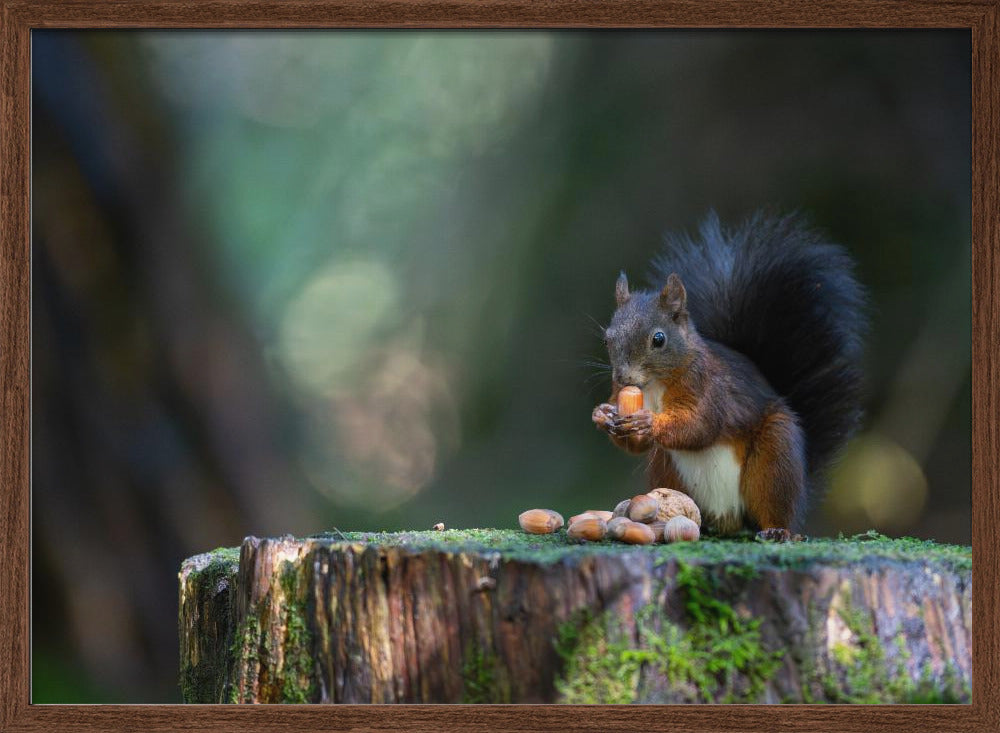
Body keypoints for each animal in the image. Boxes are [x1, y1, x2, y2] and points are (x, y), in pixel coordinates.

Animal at [592, 209, 868, 540]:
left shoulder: (707, 387)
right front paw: (602, 414)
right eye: (607, 339)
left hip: (774, 458)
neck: (655, 385)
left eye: (658, 339)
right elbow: (637, 445)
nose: (624, 378)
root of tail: (728, 519)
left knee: (774, 504)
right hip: (666, 468)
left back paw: (778, 530)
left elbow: (700, 425)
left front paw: (649, 422)